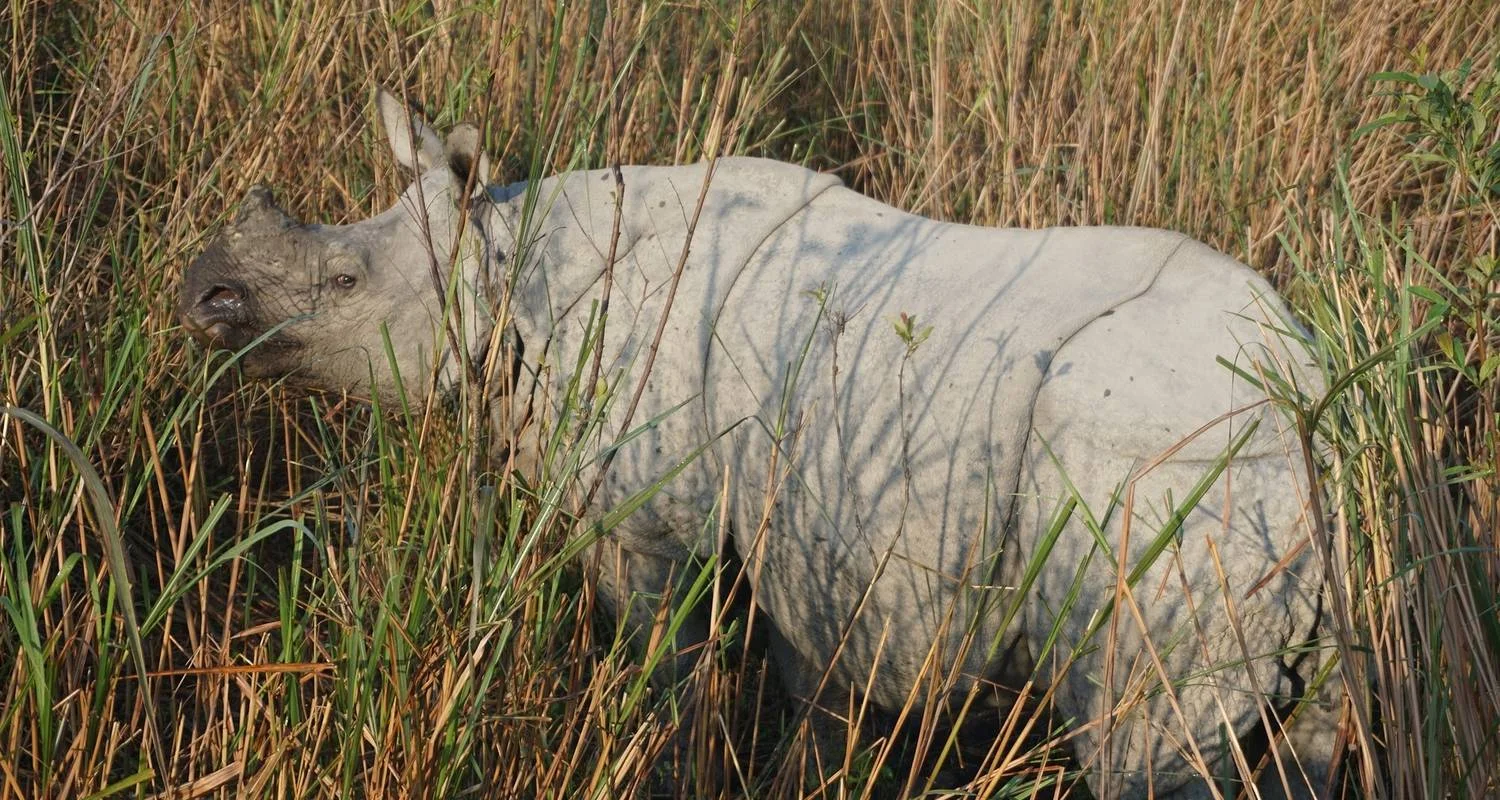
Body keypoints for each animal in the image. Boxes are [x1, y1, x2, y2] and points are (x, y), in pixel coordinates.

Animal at [180, 89, 1340, 798]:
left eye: (342, 284)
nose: (201, 295)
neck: (505, 263)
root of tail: (1302, 379)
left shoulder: (651, 524)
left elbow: (673, 679)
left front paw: (671, 771)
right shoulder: (807, 547)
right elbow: (806, 698)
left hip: (1172, 472)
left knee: (1145, 741)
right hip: (1271, 489)